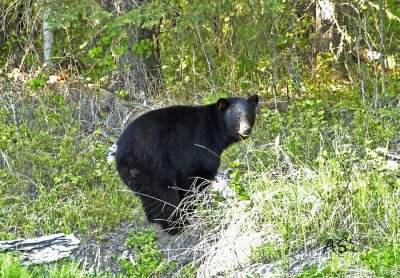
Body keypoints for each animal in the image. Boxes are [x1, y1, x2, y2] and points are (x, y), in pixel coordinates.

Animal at [115, 95, 260, 235]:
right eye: (236, 117)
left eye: (249, 115)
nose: (246, 130)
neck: (217, 129)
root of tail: (121, 153)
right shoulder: (201, 146)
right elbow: (199, 177)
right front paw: (197, 207)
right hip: (153, 162)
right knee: (162, 193)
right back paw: (176, 225)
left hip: (136, 173)